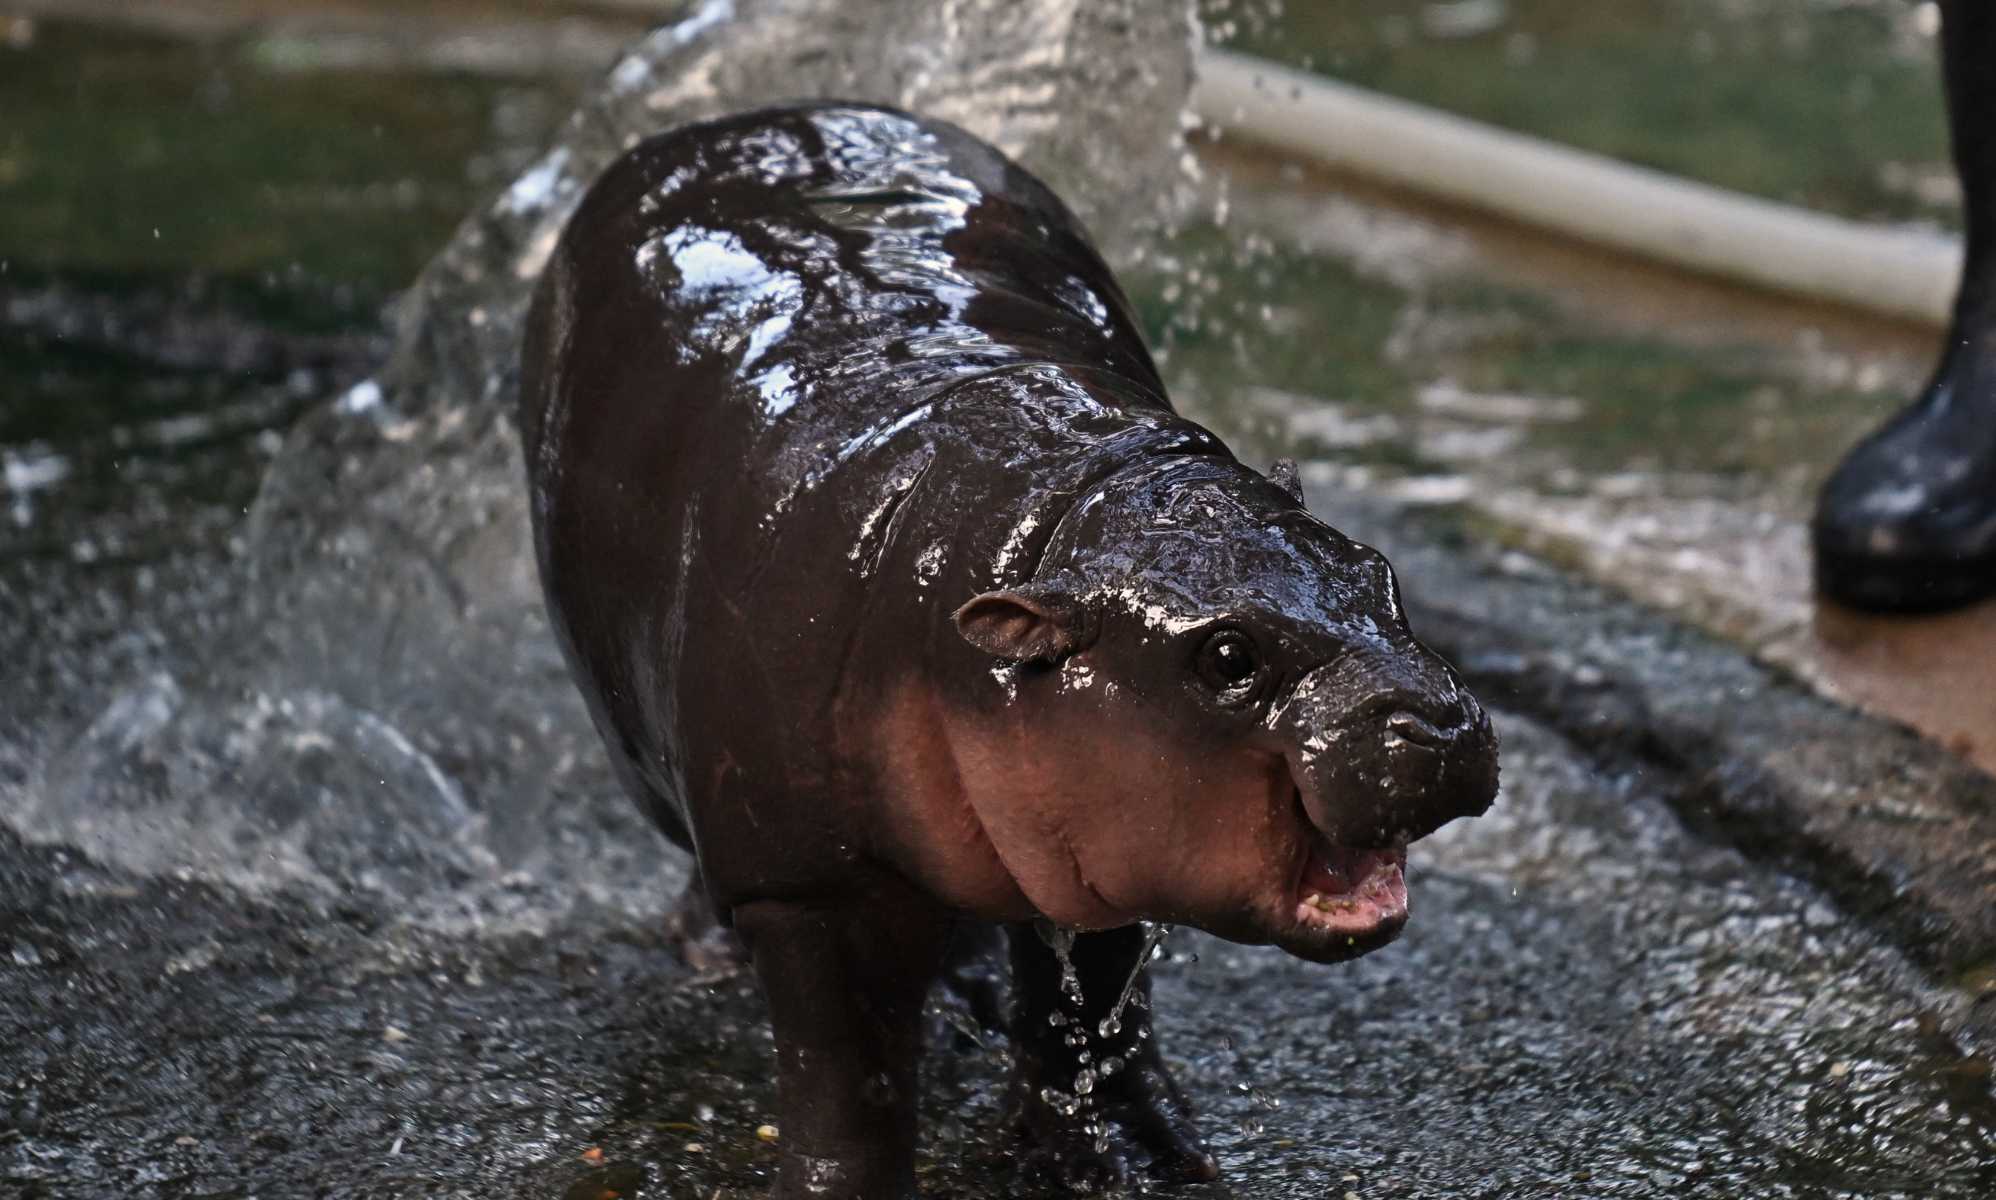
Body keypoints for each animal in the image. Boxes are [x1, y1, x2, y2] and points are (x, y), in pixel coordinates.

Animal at [520, 103, 1498, 1198]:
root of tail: (739, 120)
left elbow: (1095, 1006)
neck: (1050, 517)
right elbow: (846, 1075)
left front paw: (1132, 1153)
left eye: (1378, 572)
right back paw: (711, 956)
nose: (1439, 722)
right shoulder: (810, 884)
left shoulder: (1108, 832)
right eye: (1227, 657)